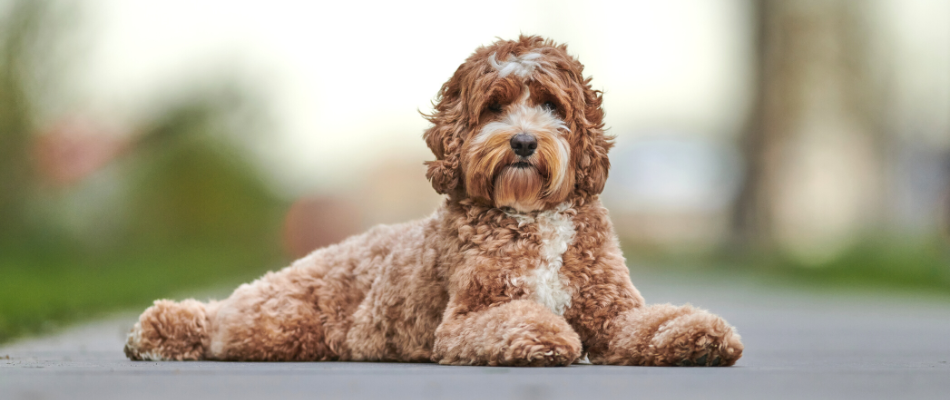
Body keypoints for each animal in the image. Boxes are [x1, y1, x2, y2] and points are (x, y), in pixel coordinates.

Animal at [122, 36, 744, 368]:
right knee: (216, 321)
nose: (523, 142)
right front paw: (544, 338)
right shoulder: (468, 317)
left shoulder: (610, 309)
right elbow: (516, 319)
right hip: (275, 324)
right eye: (493, 106)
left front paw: (699, 337)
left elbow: (652, 322)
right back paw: (154, 331)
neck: (532, 216)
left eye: (551, 104)